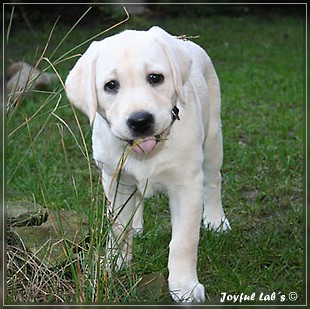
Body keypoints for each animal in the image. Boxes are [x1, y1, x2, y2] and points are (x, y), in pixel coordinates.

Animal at [65, 26, 230, 300]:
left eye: (155, 78)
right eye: (111, 85)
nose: (140, 120)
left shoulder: (187, 185)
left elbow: (183, 241)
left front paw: (185, 286)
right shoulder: (115, 180)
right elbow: (118, 227)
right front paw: (115, 262)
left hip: (213, 137)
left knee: (214, 181)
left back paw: (216, 221)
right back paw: (138, 224)